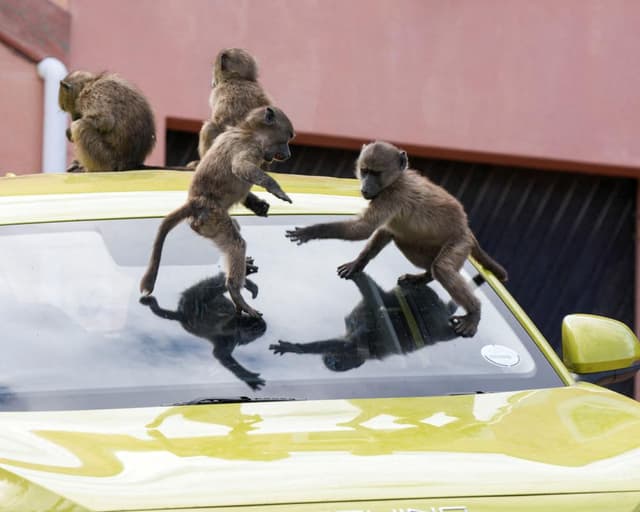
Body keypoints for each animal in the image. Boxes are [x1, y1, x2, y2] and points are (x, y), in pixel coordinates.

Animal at [140, 105, 295, 318]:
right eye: (287, 138)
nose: (288, 154)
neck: (248, 131)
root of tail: (195, 202)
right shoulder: (250, 147)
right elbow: (240, 167)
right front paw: (277, 189)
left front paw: (258, 205)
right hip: (212, 217)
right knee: (236, 244)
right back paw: (235, 292)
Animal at [270, 272, 458, 371]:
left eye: (336, 363)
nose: (331, 362)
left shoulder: (354, 347)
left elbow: (342, 344)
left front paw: (296, 348)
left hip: (431, 320)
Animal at [285, 141, 508, 338]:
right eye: (364, 171)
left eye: (376, 173)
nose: (365, 187)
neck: (395, 180)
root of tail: (465, 227)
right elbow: (384, 231)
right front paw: (357, 264)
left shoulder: (392, 195)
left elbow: (363, 229)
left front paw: (310, 231)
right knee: (408, 244)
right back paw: (425, 277)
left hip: (459, 243)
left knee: (442, 268)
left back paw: (474, 312)